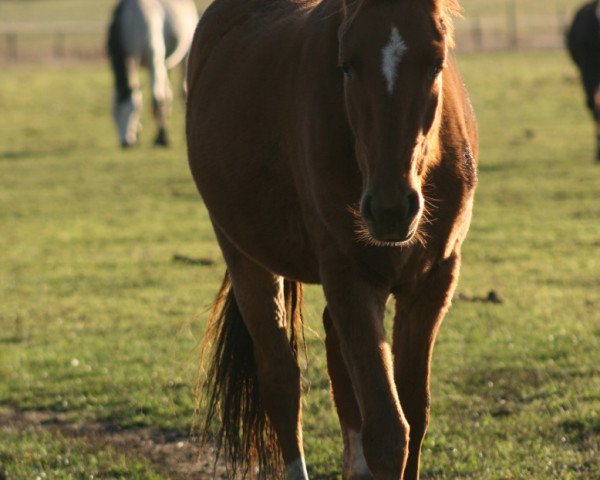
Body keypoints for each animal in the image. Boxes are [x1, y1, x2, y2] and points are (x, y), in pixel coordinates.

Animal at [108, 0, 199, 146]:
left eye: (133, 110)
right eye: (114, 113)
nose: (126, 143)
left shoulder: (153, 62)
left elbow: (157, 101)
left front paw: (162, 138)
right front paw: (138, 132)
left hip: (184, 57)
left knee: (182, 92)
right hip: (166, 64)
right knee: (169, 94)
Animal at [188, 0, 478, 480]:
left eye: (436, 61)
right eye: (347, 65)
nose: (390, 208)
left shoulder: (432, 282)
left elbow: (415, 415)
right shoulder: (349, 277)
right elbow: (388, 432)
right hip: (243, 255)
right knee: (282, 382)